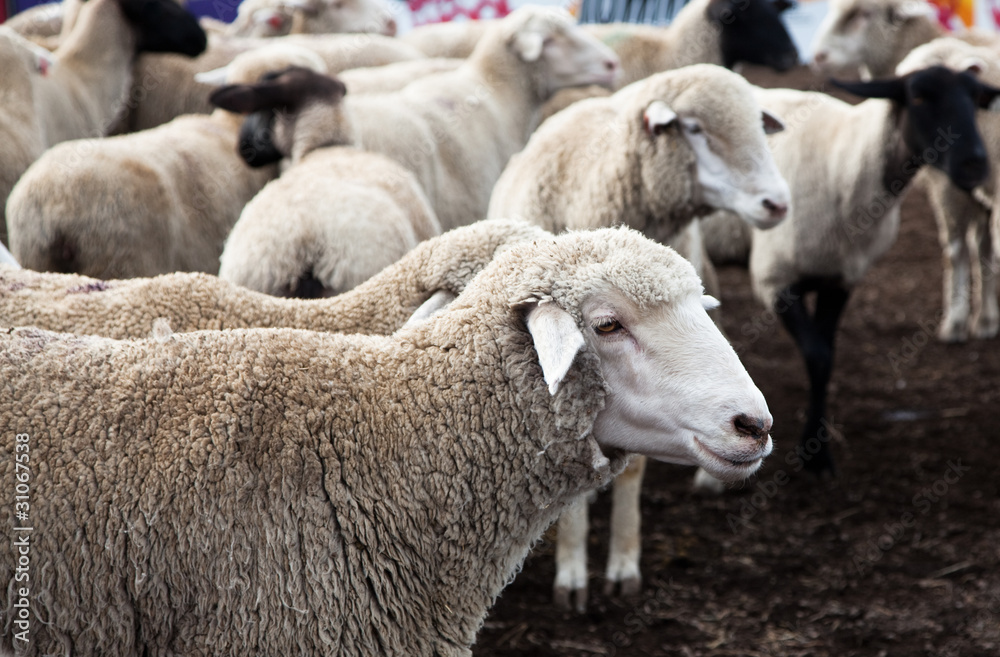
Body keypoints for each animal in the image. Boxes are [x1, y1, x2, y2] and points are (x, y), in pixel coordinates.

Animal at [487, 63, 789, 610]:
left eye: (759, 124)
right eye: (694, 128)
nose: (776, 203)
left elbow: (631, 470)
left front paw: (623, 563)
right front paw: (572, 571)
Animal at [701, 66, 1000, 475]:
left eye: (975, 99)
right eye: (919, 96)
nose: (975, 164)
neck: (844, 164)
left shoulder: (839, 278)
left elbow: (827, 357)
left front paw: (817, 450)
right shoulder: (775, 277)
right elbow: (816, 355)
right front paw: (812, 453)